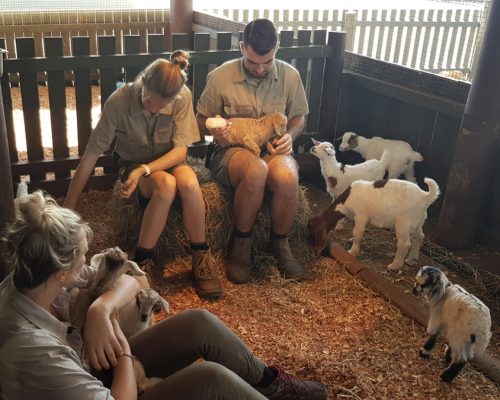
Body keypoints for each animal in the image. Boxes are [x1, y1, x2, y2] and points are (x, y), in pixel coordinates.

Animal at [306, 179, 440, 270]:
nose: (315, 253)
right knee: (419, 237)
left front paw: (352, 251)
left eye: (314, 234)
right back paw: (411, 260)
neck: (346, 200)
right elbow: (358, 231)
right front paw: (351, 240)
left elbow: (357, 232)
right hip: (418, 221)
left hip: (403, 222)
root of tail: (425, 196)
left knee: (404, 243)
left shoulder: (361, 215)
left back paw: (394, 265)